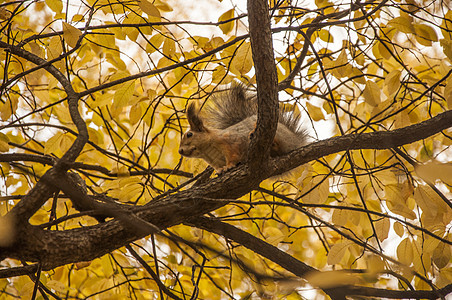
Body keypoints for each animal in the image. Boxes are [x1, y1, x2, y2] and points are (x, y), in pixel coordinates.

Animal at [178, 84, 308, 173]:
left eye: (189, 134)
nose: (180, 151)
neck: (207, 151)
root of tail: (297, 141)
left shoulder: (230, 142)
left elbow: (233, 155)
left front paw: (229, 166)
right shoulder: (216, 162)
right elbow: (219, 168)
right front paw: (220, 171)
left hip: (281, 135)